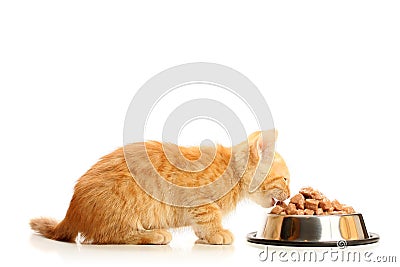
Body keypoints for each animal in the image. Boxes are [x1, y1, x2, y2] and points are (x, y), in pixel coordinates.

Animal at [29, 130, 290, 245]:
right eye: (286, 180)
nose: (289, 194)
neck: (232, 171)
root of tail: (72, 211)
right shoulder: (198, 199)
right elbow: (209, 217)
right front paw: (216, 233)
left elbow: (200, 223)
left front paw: (203, 236)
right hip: (121, 210)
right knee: (108, 237)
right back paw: (153, 234)